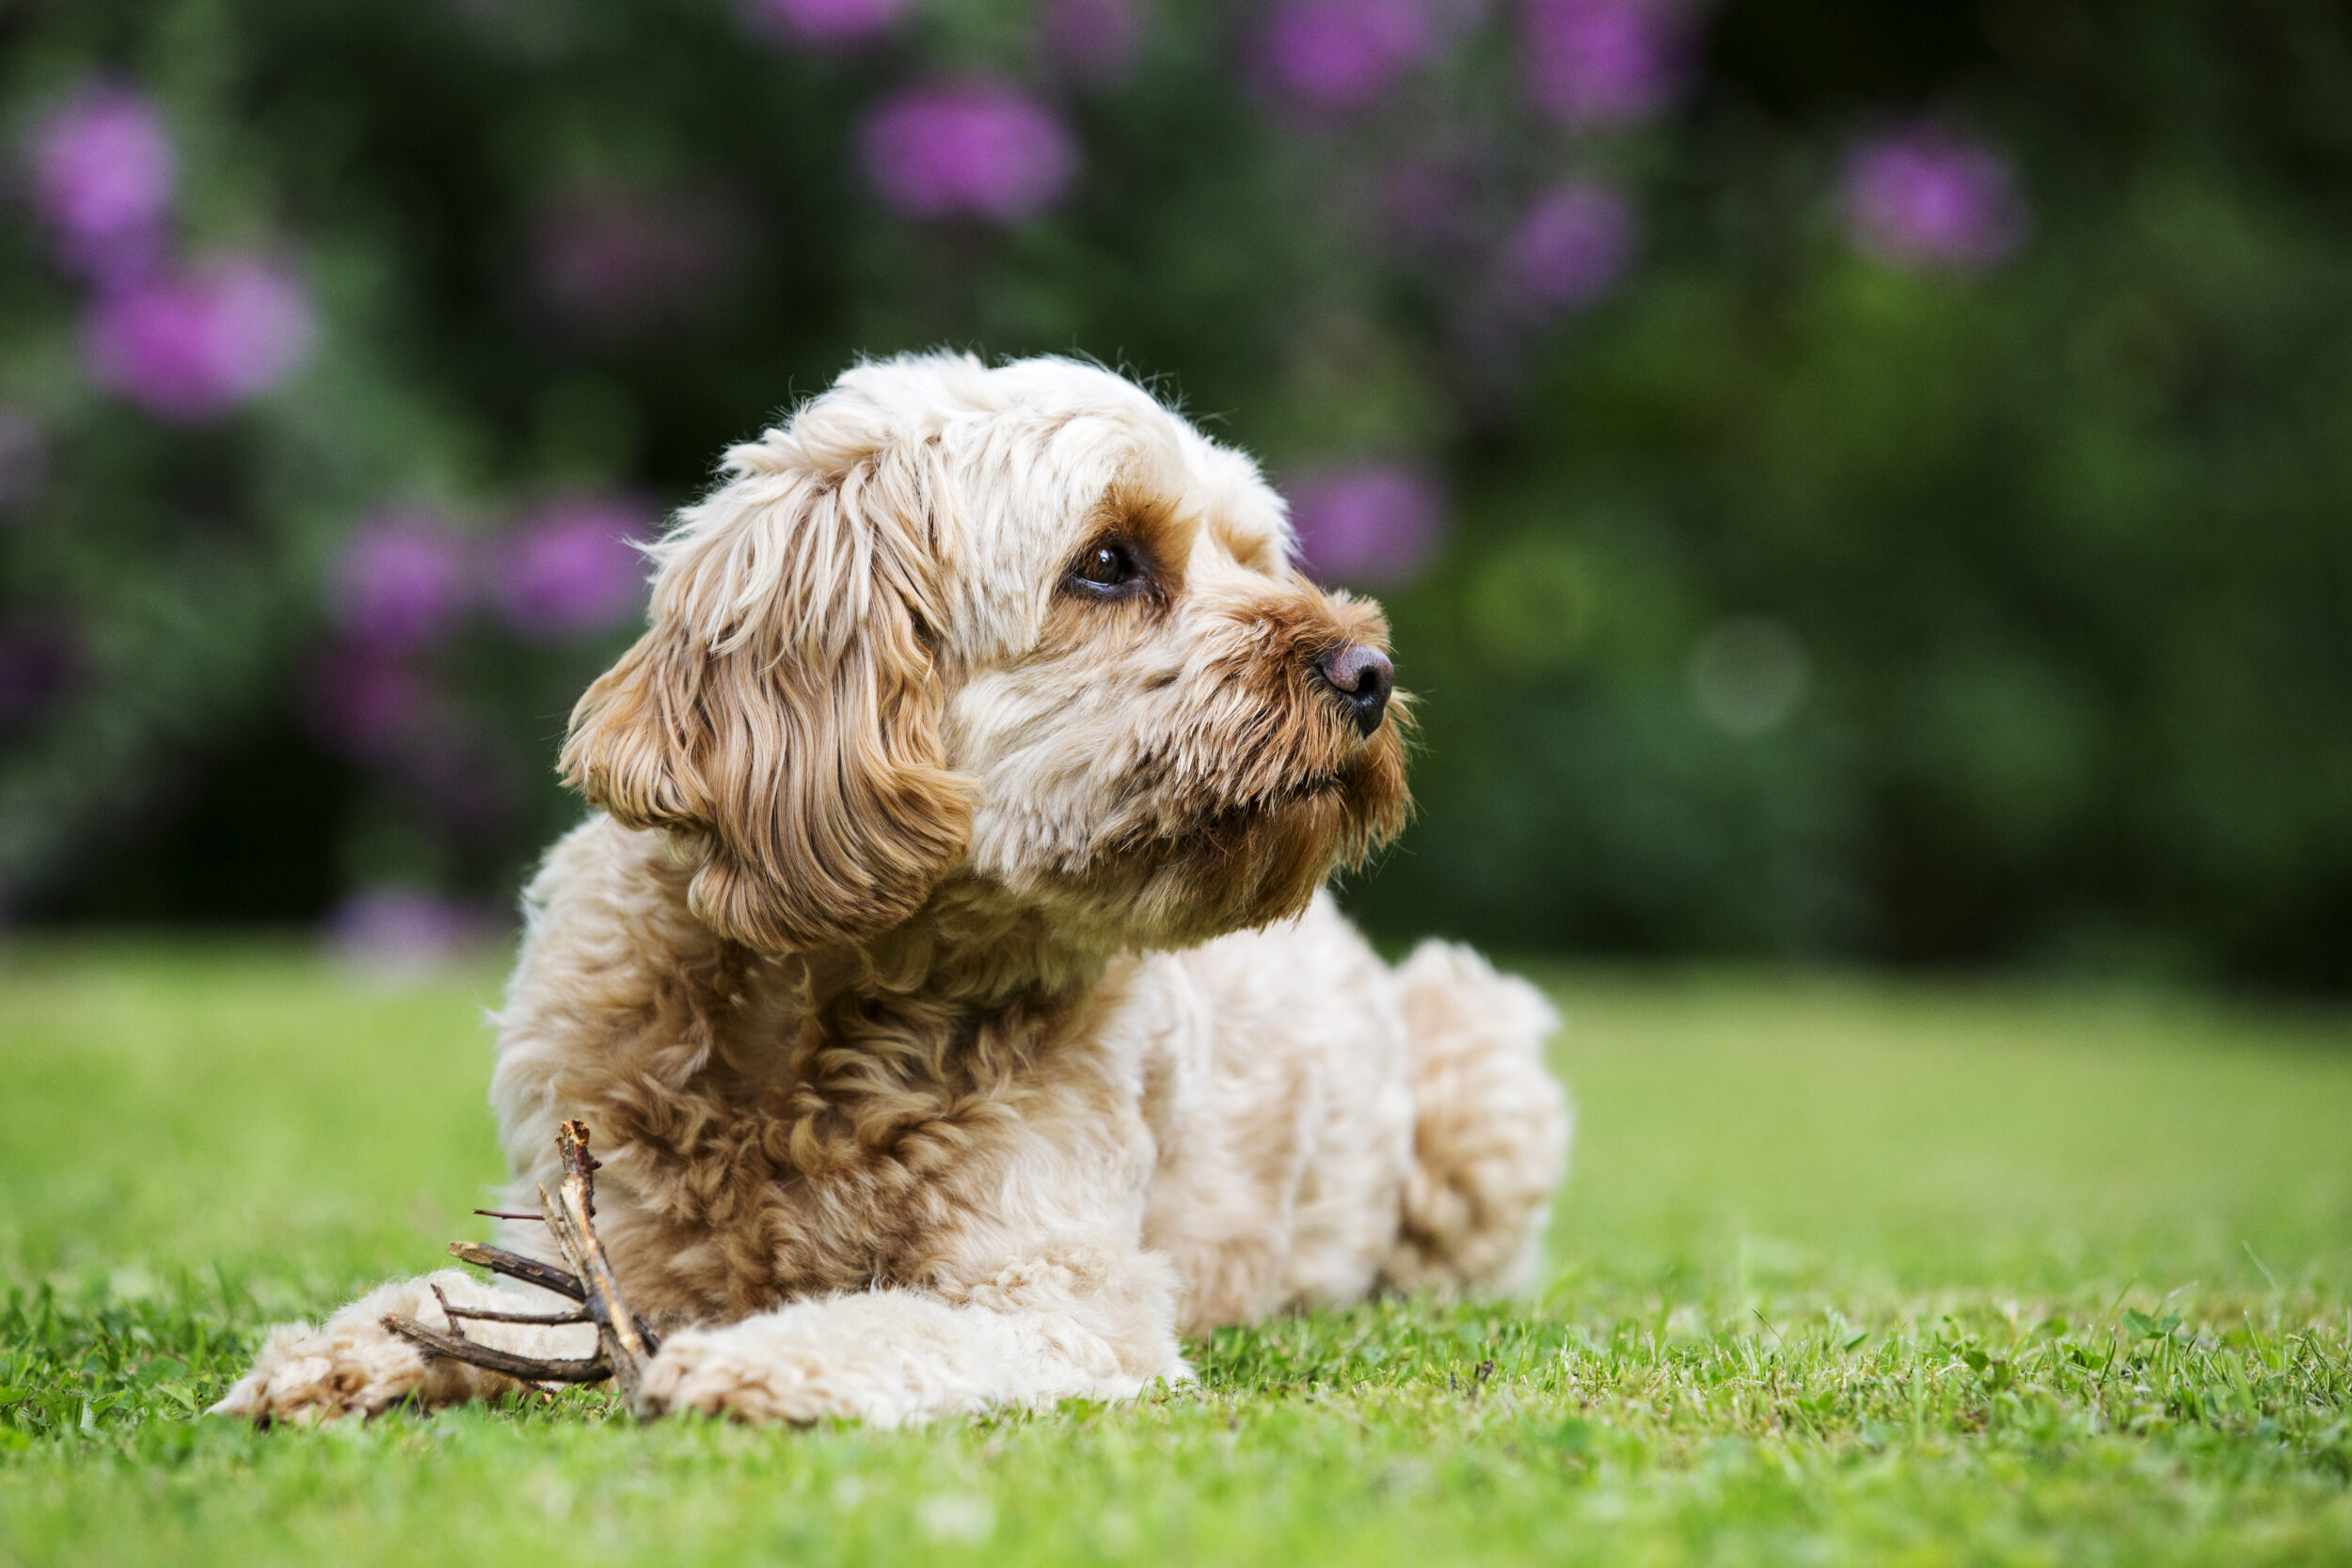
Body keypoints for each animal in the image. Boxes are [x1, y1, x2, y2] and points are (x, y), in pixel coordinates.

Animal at [216, 359, 1562, 1438]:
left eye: (1253, 556)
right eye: (1109, 561)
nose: (1367, 670)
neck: (832, 1008)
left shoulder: (1062, 1299)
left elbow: (893, 1325)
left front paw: (753, 1362)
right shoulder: (603, 1226)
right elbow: (483, 1300)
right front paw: (343, 1350)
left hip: (1479, 1051)